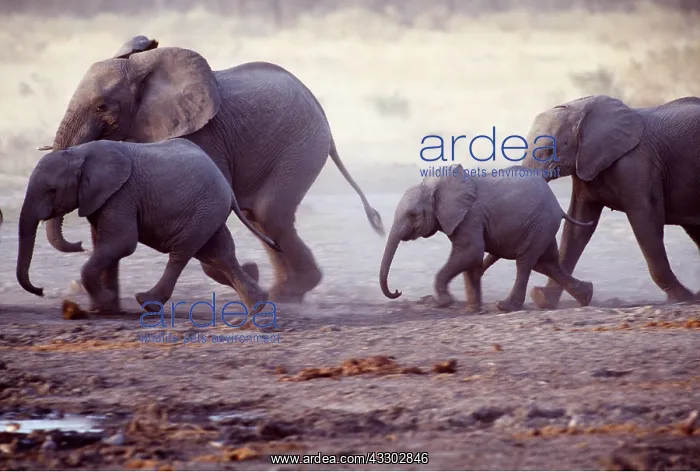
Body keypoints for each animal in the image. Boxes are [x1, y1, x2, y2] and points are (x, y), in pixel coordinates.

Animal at [17, 138, 280, 314]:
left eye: (52, 190)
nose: (41, 290)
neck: (78, 153)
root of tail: (227, 185)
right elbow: (109, 243)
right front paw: (104, 305)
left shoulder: (122, 194)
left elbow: (121, 243)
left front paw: (105, 300)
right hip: (209, 211)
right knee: (219, 253)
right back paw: (257, 305)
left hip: (204, 209)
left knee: (182, 252)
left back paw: (146, 301)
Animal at [38, 35, 384, 303]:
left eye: (102, 107)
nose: (77, 246)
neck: (143, 69)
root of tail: (321, 112)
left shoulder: (203, 133)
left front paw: (245, 272)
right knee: (260, 216)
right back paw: (285, 292)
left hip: (302, 145)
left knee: (270, 213)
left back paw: (287, 293)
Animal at [379, 164, 595, 313]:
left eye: (413, 215)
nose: (397, 291)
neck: (436, 187)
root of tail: (558, 206)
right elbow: (470, 259)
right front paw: (473, 309)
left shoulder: (470, 217)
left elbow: (471, 252)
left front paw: (444, 302)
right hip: (543, 226)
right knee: (546, 264)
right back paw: (586, 297)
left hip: (540, 223)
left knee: (526, 262)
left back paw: (506, 307)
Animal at [522, 95, 700, 309]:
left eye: (549, 150)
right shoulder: (585, 166)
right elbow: (577, 228)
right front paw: (544, 299)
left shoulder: (636, 164)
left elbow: (645, 220)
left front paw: (683, 298)